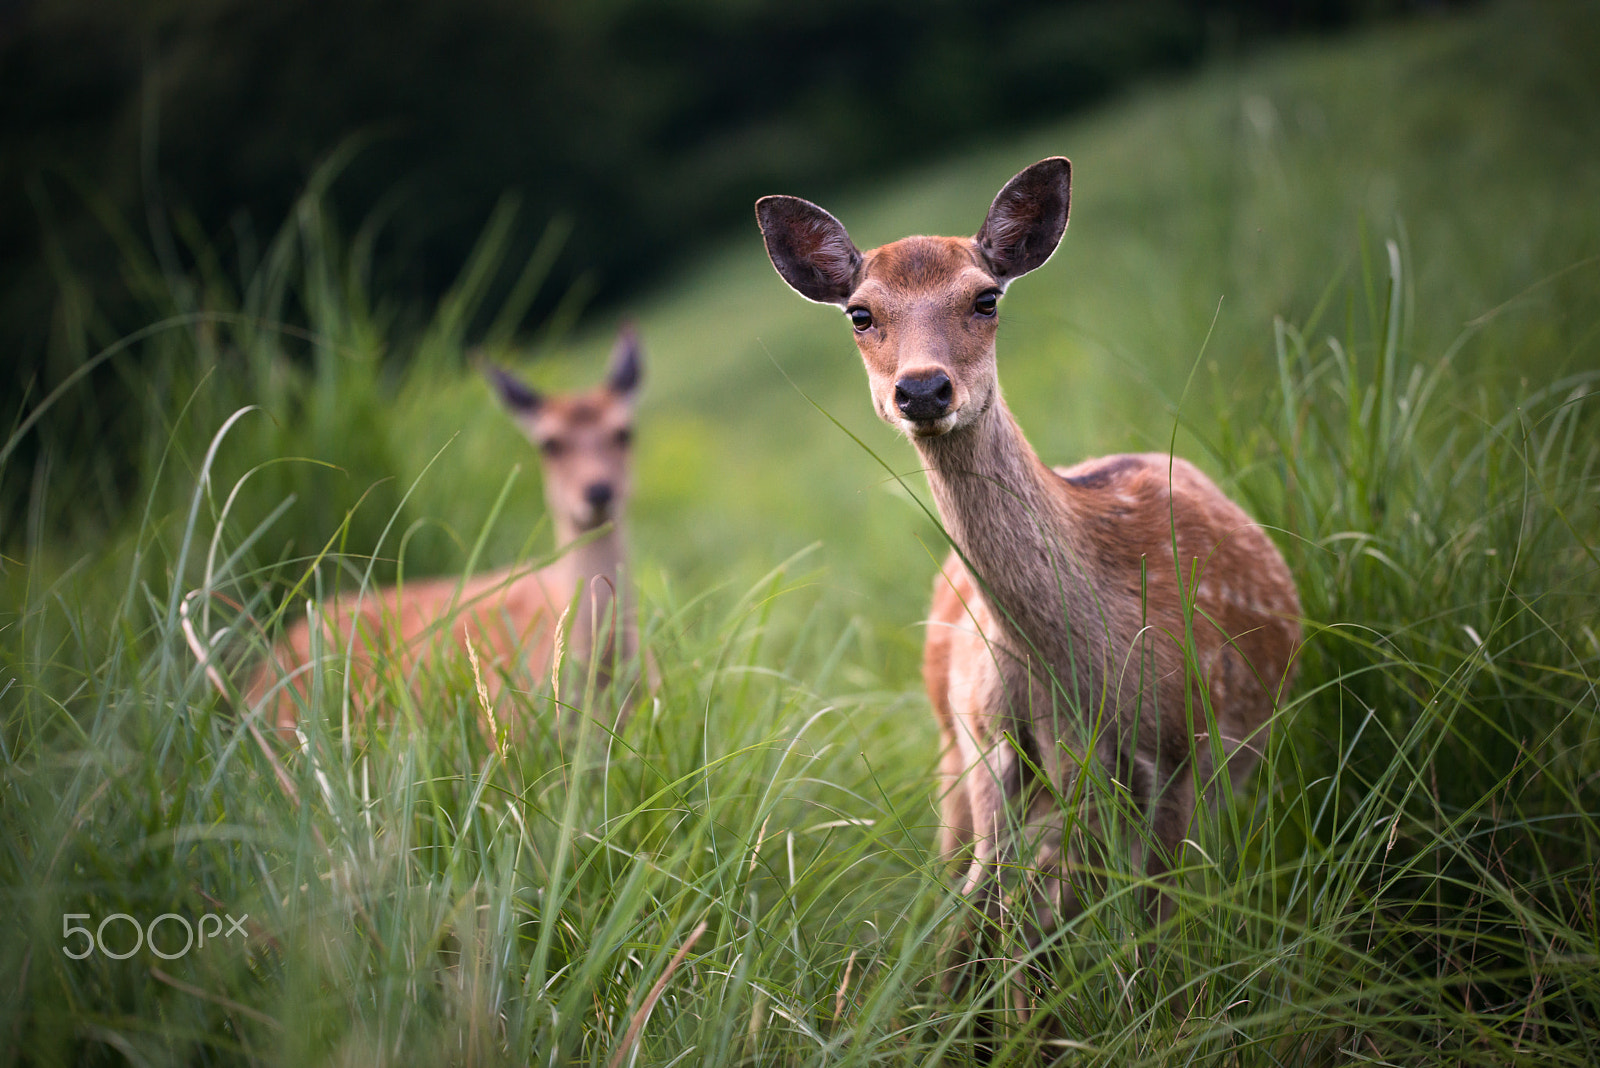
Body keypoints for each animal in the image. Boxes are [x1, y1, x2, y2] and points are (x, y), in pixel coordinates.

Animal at [756, 158, 1300, 1028]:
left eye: (986, 298)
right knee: (979, 904)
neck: (1069, 672)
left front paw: (1158, 1017)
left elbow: (1145, 929)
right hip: (953, 751)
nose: (922, 390)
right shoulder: (994, 750)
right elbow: (999, 930)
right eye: (860, 313)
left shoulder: (1181, 748)